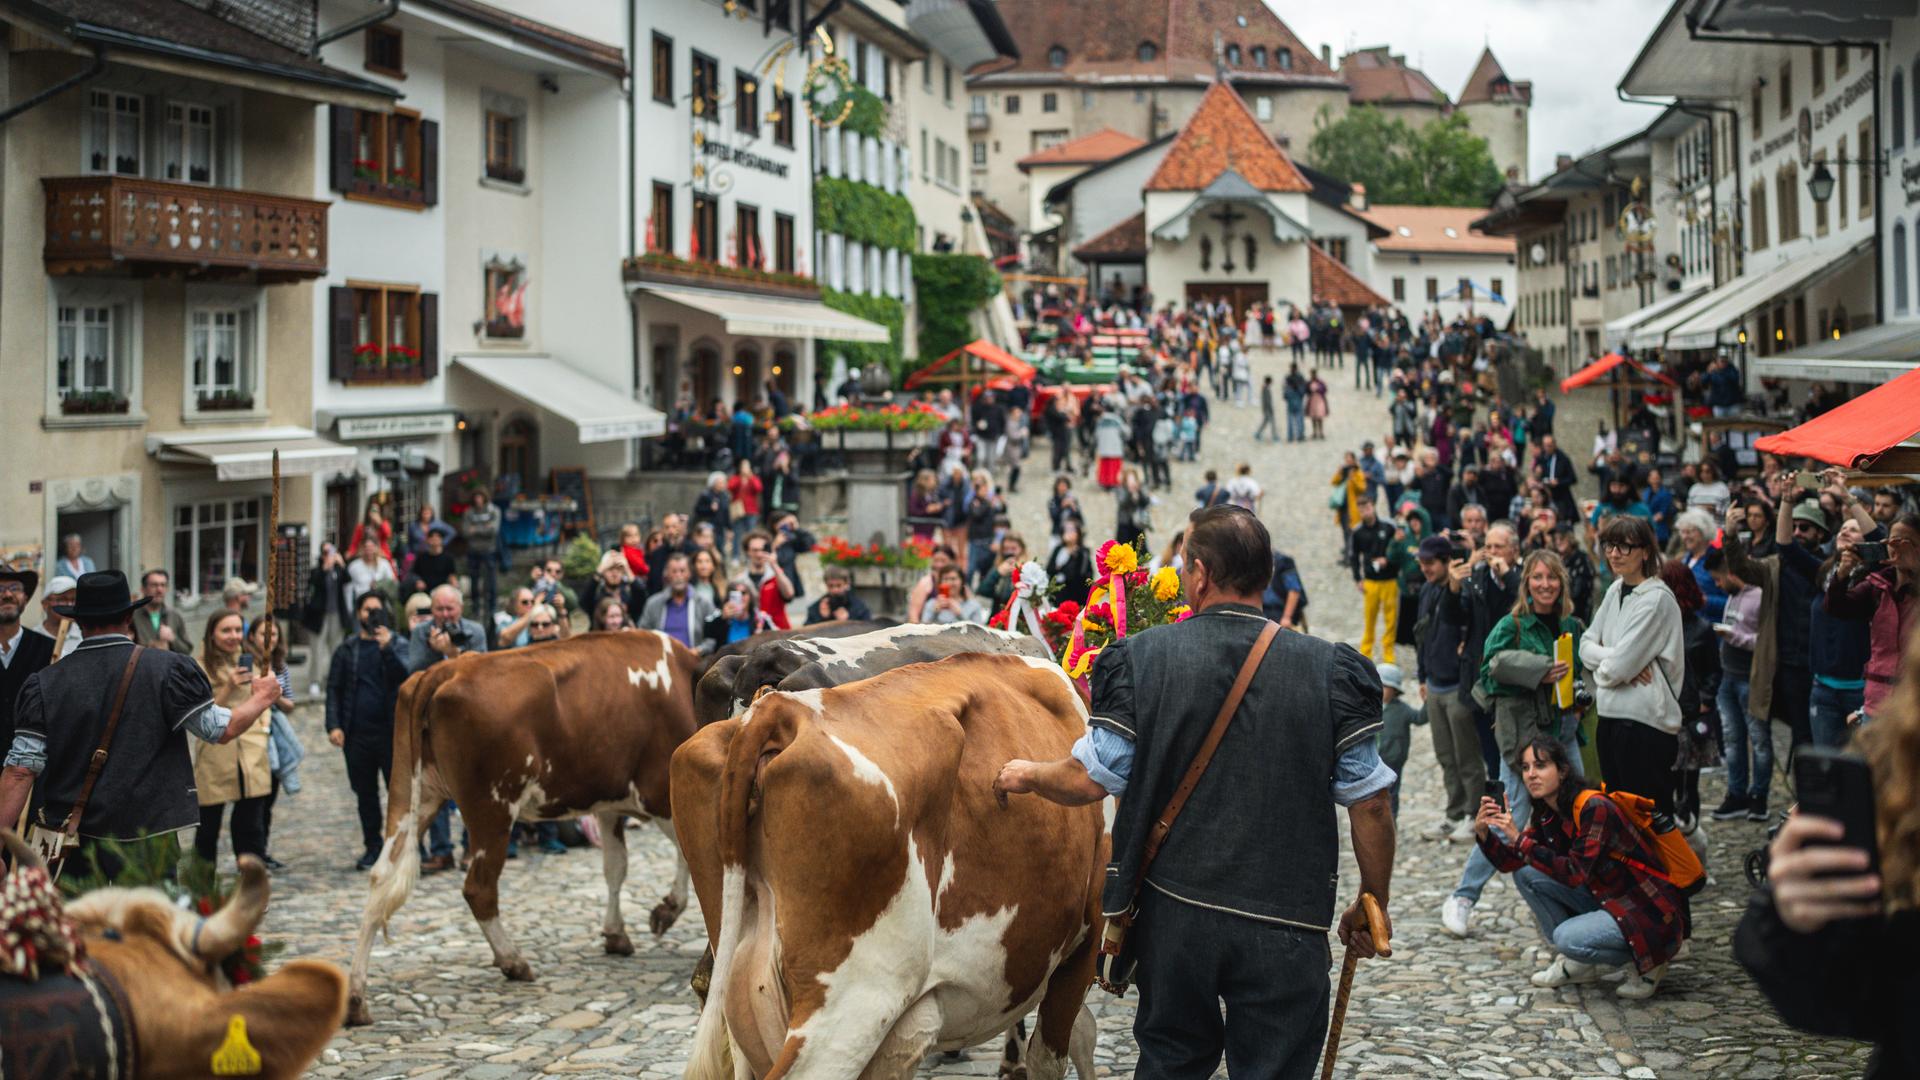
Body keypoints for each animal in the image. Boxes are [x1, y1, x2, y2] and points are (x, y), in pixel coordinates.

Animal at [345, 630, 704, 1026]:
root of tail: (445, 669)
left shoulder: (609, 804)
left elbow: (616, 867)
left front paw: (616, 934)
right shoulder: (658, 792)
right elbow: (685, 856)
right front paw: (665, 911)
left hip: (412, 795)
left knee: (382, 879)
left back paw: (356, 998)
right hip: (492, 809)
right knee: (479, 888)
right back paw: (512, 960)